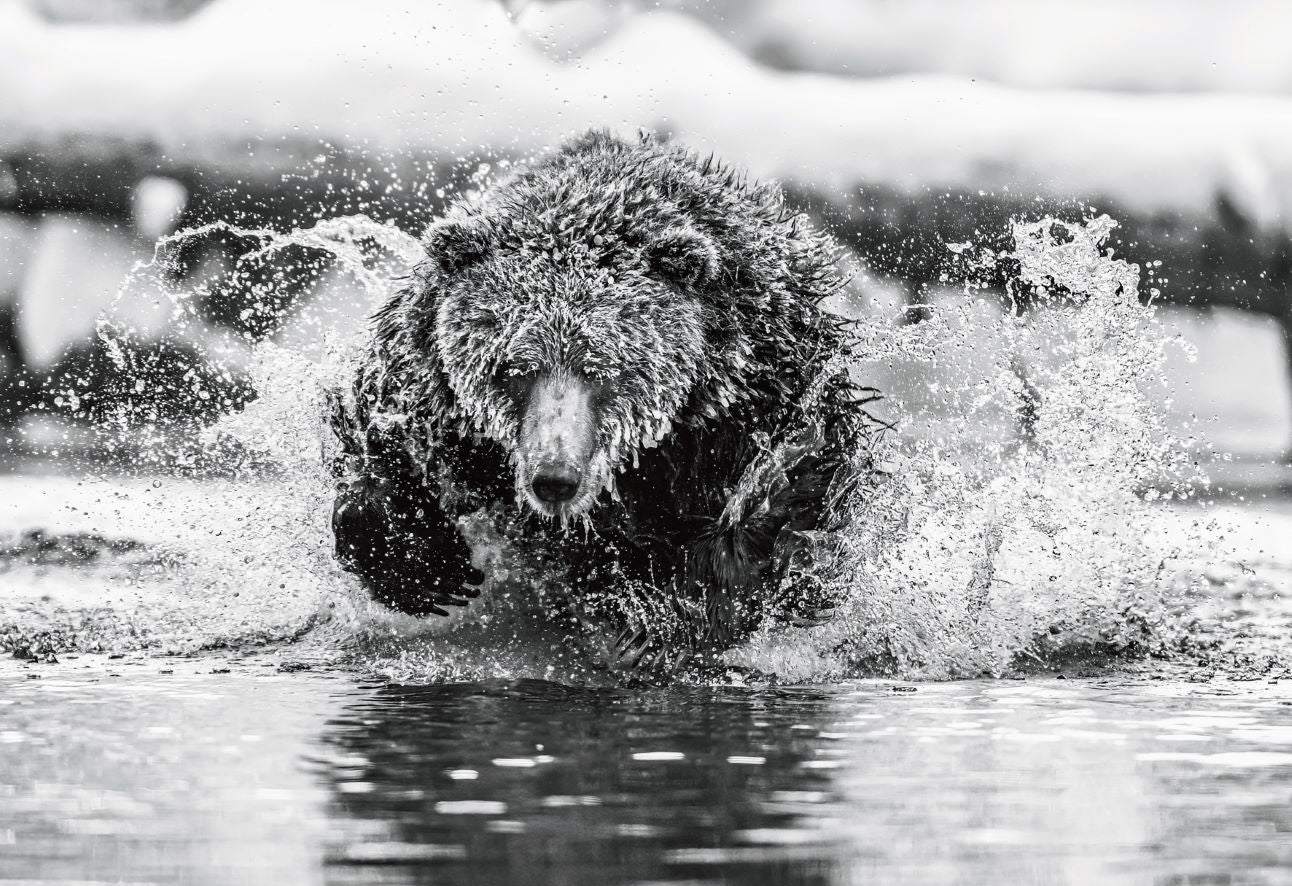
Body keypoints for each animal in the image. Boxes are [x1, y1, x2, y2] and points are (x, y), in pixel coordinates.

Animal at [330, 128, 878, 676]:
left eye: (603, 368)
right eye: (511, 369)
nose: (554, 479)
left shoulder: (754, 393)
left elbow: (788, 495)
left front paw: (666, 619)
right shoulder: (436, 395)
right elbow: (379, 435)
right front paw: (431, 568)